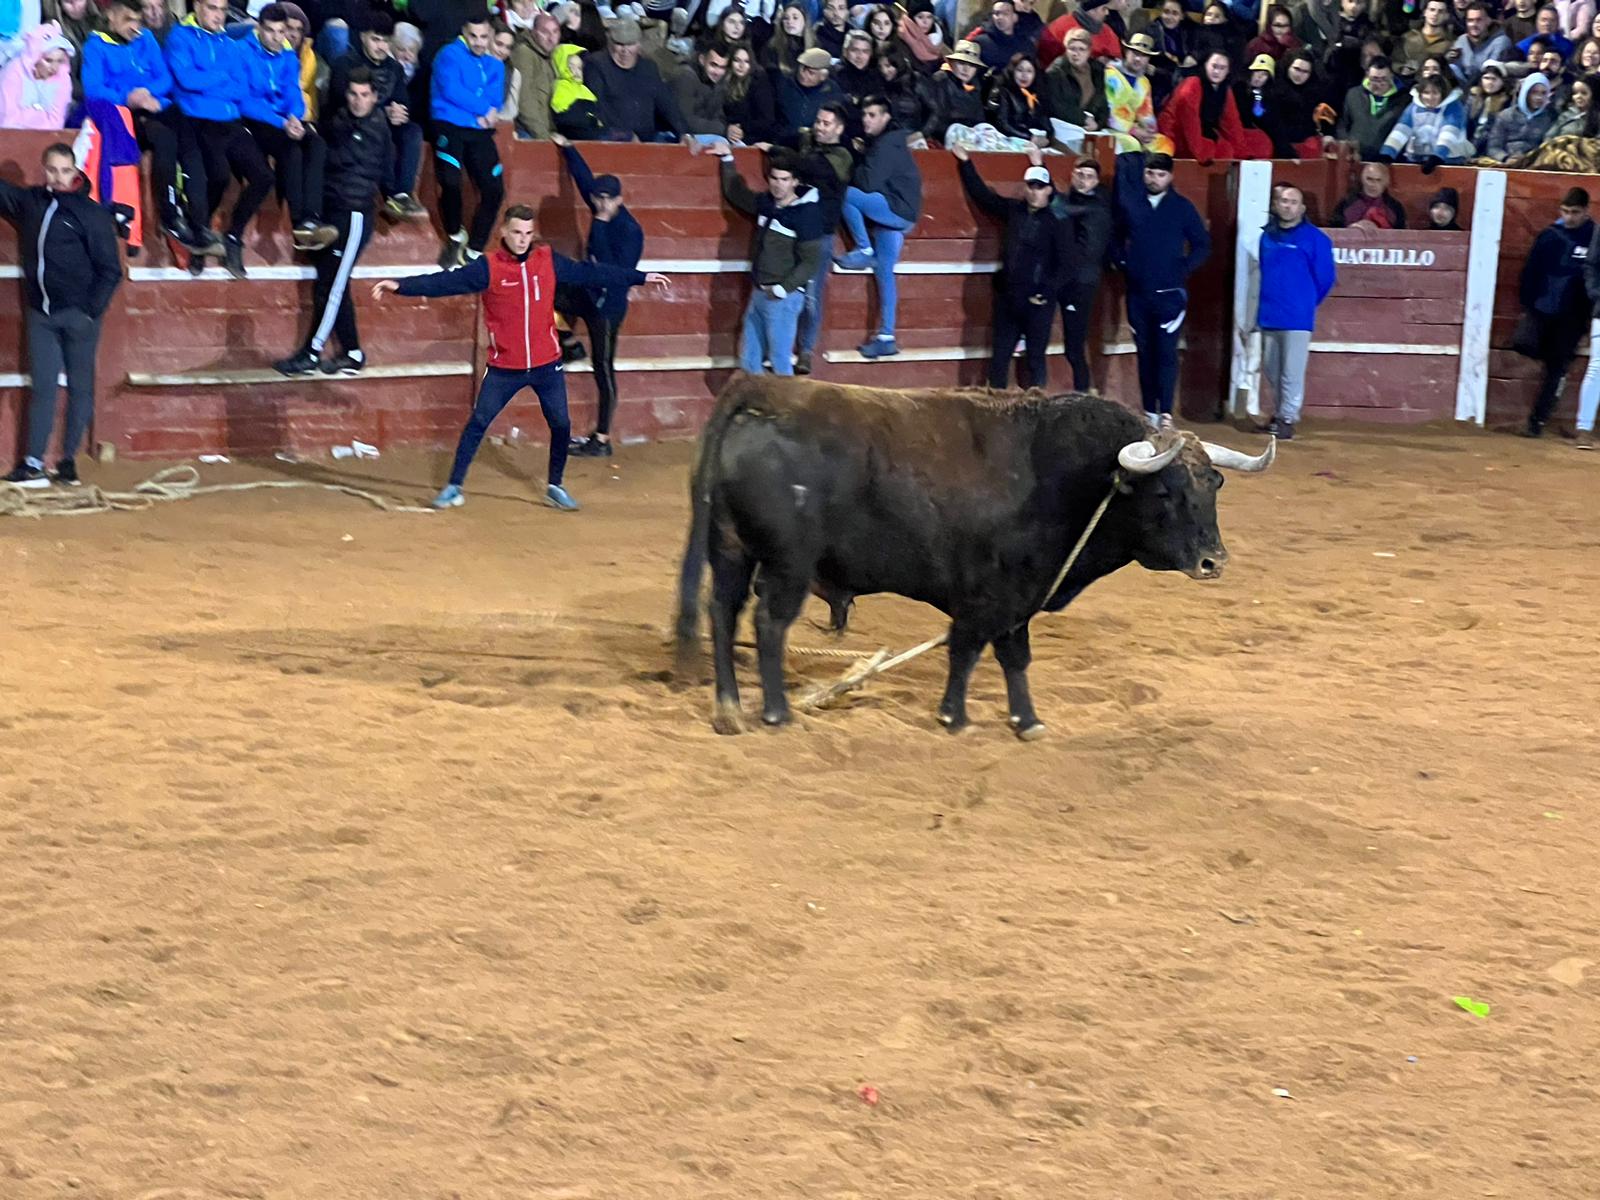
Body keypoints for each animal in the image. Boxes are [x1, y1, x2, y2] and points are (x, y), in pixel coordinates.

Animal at [668, 377, 1267, 732]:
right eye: (1165, 491)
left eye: (1214, 484)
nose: (1214, 561)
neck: (1070, 477)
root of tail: (765, 388)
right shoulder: (987, 594)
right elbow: (967, 649)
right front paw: (954, 716)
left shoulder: (1022, 595)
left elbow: (1014, 655)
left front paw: (1026, 720)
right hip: (788, 565)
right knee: (768, 623)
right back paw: (775, 711)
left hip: (730, 549)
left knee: (722, 613)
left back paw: (728, 709)